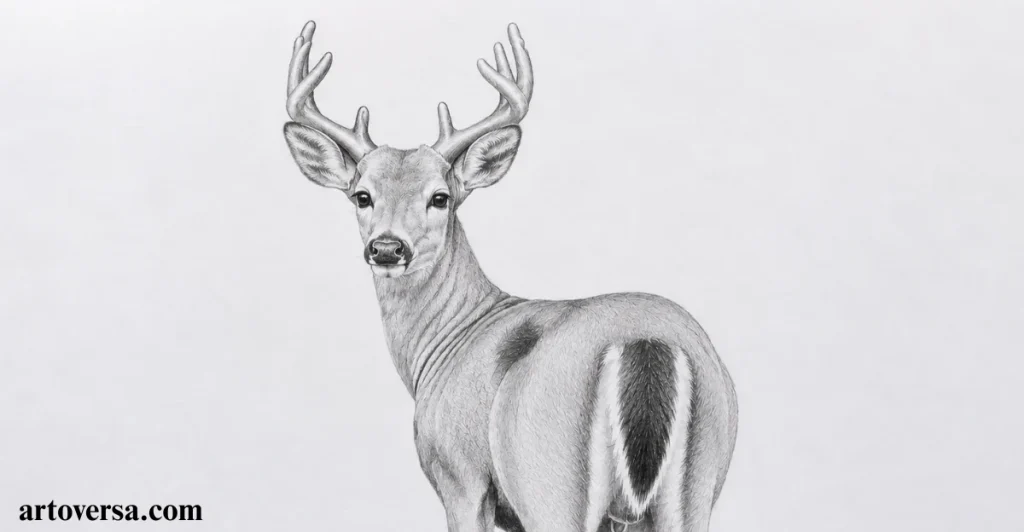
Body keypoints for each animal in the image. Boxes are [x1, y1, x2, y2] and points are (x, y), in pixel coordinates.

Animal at [281, 20, 738, 532]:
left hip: (547, 477)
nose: (386, 248)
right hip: (701, 479)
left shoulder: (460, 475)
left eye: (440, 197)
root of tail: (646, 342)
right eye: (362, 195)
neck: (448, 339)